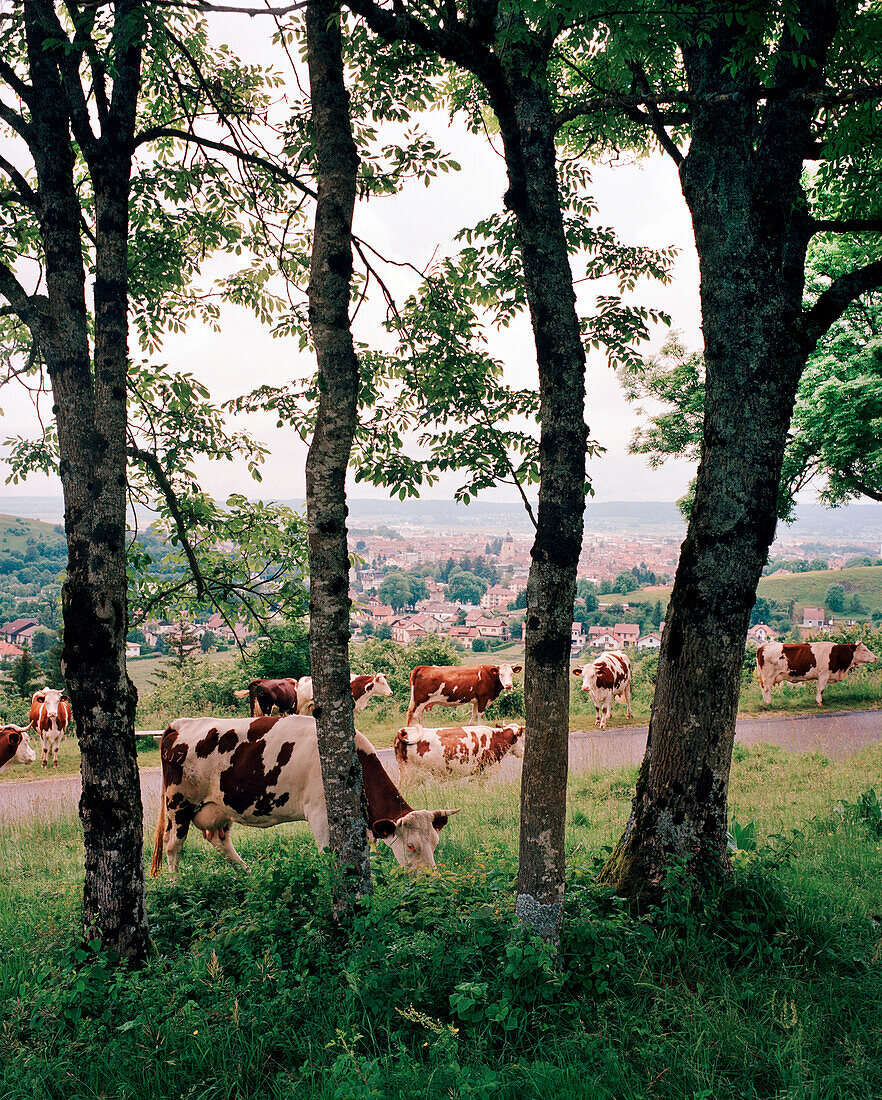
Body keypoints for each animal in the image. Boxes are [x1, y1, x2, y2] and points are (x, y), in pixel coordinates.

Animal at [148, 712, 457, 875]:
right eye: (411, 846)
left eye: (435, 843)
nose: (430, 879)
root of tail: (180, 725)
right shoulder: (321, 815)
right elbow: (328, 855)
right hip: (179, 804)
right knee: (173, 846)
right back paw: (176, 885)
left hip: (220, 808)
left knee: (221, 842)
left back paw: (248, 875)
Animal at [395, 726, 525, 787]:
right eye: (522, 737)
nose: (523, 751)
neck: (495, 738)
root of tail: (405, 730)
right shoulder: (481, 770)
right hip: (411, 774)